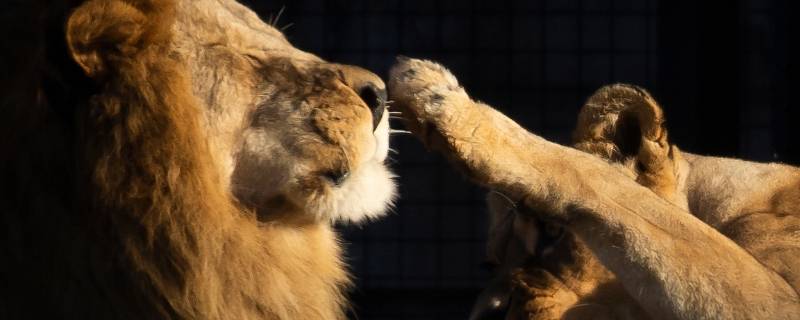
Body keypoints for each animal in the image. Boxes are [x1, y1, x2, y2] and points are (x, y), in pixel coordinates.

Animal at [388, 58, 800, 320]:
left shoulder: (782, 302)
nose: (485, 317)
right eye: (489, 264)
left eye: (552, 231)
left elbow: (598, 178)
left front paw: (443, 104)